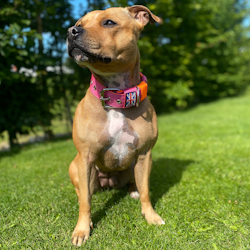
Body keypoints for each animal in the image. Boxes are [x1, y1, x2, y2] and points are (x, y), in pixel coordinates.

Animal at [66, 4, 164, 247]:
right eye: (79, 23)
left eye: (109, 22)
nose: (71, 31)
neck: (116, 94)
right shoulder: (86, 157)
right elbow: (85, 202)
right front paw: (82, 230)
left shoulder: (145, 154)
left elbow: (146, 191)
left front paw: (151, 216)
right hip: (77, 166)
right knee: (84, 191)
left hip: (134, 166)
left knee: (134, 183)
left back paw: (132, 190)